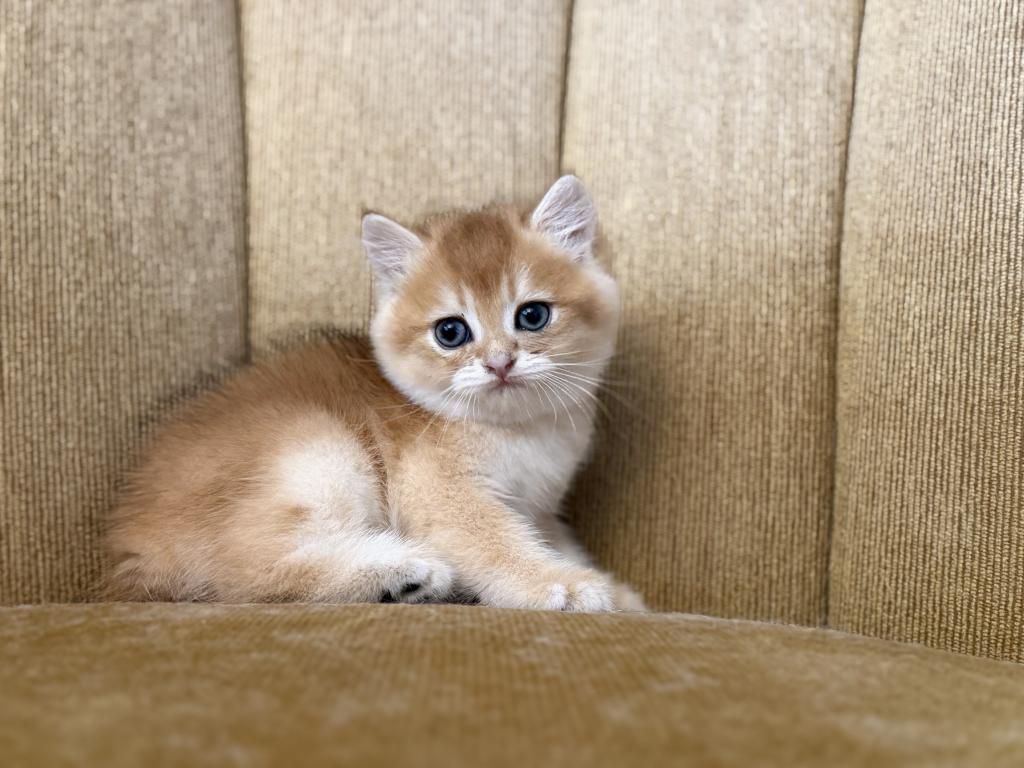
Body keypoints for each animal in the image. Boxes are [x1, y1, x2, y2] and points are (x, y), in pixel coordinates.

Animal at [104, 175, 645, 612]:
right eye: (451, 332)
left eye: (532, 316)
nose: (499, 363)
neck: (516, 430)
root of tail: (132, 543)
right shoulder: (437, 493)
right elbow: (495, 541)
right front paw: (561, 585)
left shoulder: (540, 509)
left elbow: (558, 539)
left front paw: (618, 593)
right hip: (322, 451)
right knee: (243, 573)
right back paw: (399, 571)